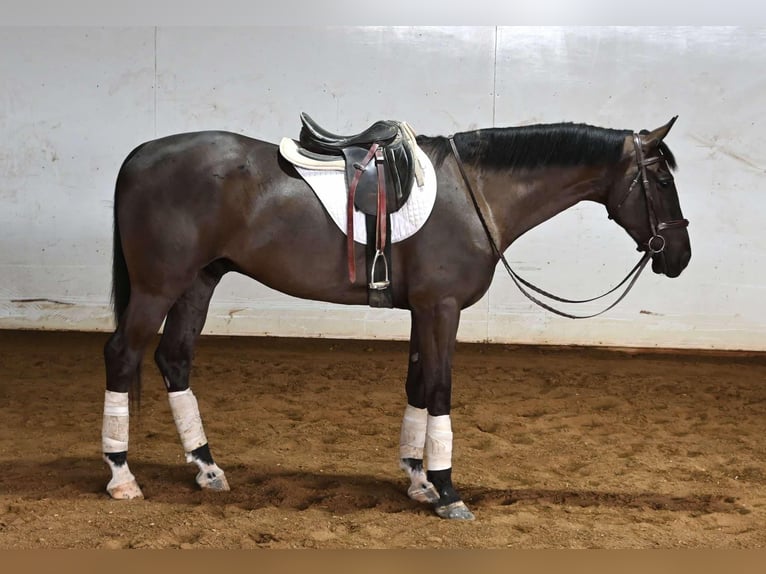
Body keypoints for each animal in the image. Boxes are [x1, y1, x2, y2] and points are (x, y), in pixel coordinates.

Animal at [99, 117, 692, 520]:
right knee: (122, 356)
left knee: (174, 359)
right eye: (662, 182)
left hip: (200, 281)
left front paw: (418, 480)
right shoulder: (442, 308)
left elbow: (417, 384)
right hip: (158, 287)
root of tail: (139, 155)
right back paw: (123, 475)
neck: (476, 193)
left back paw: (206, 468)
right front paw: (448, 491)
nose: (679, 257)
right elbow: (441, 388)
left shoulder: (422, 309)